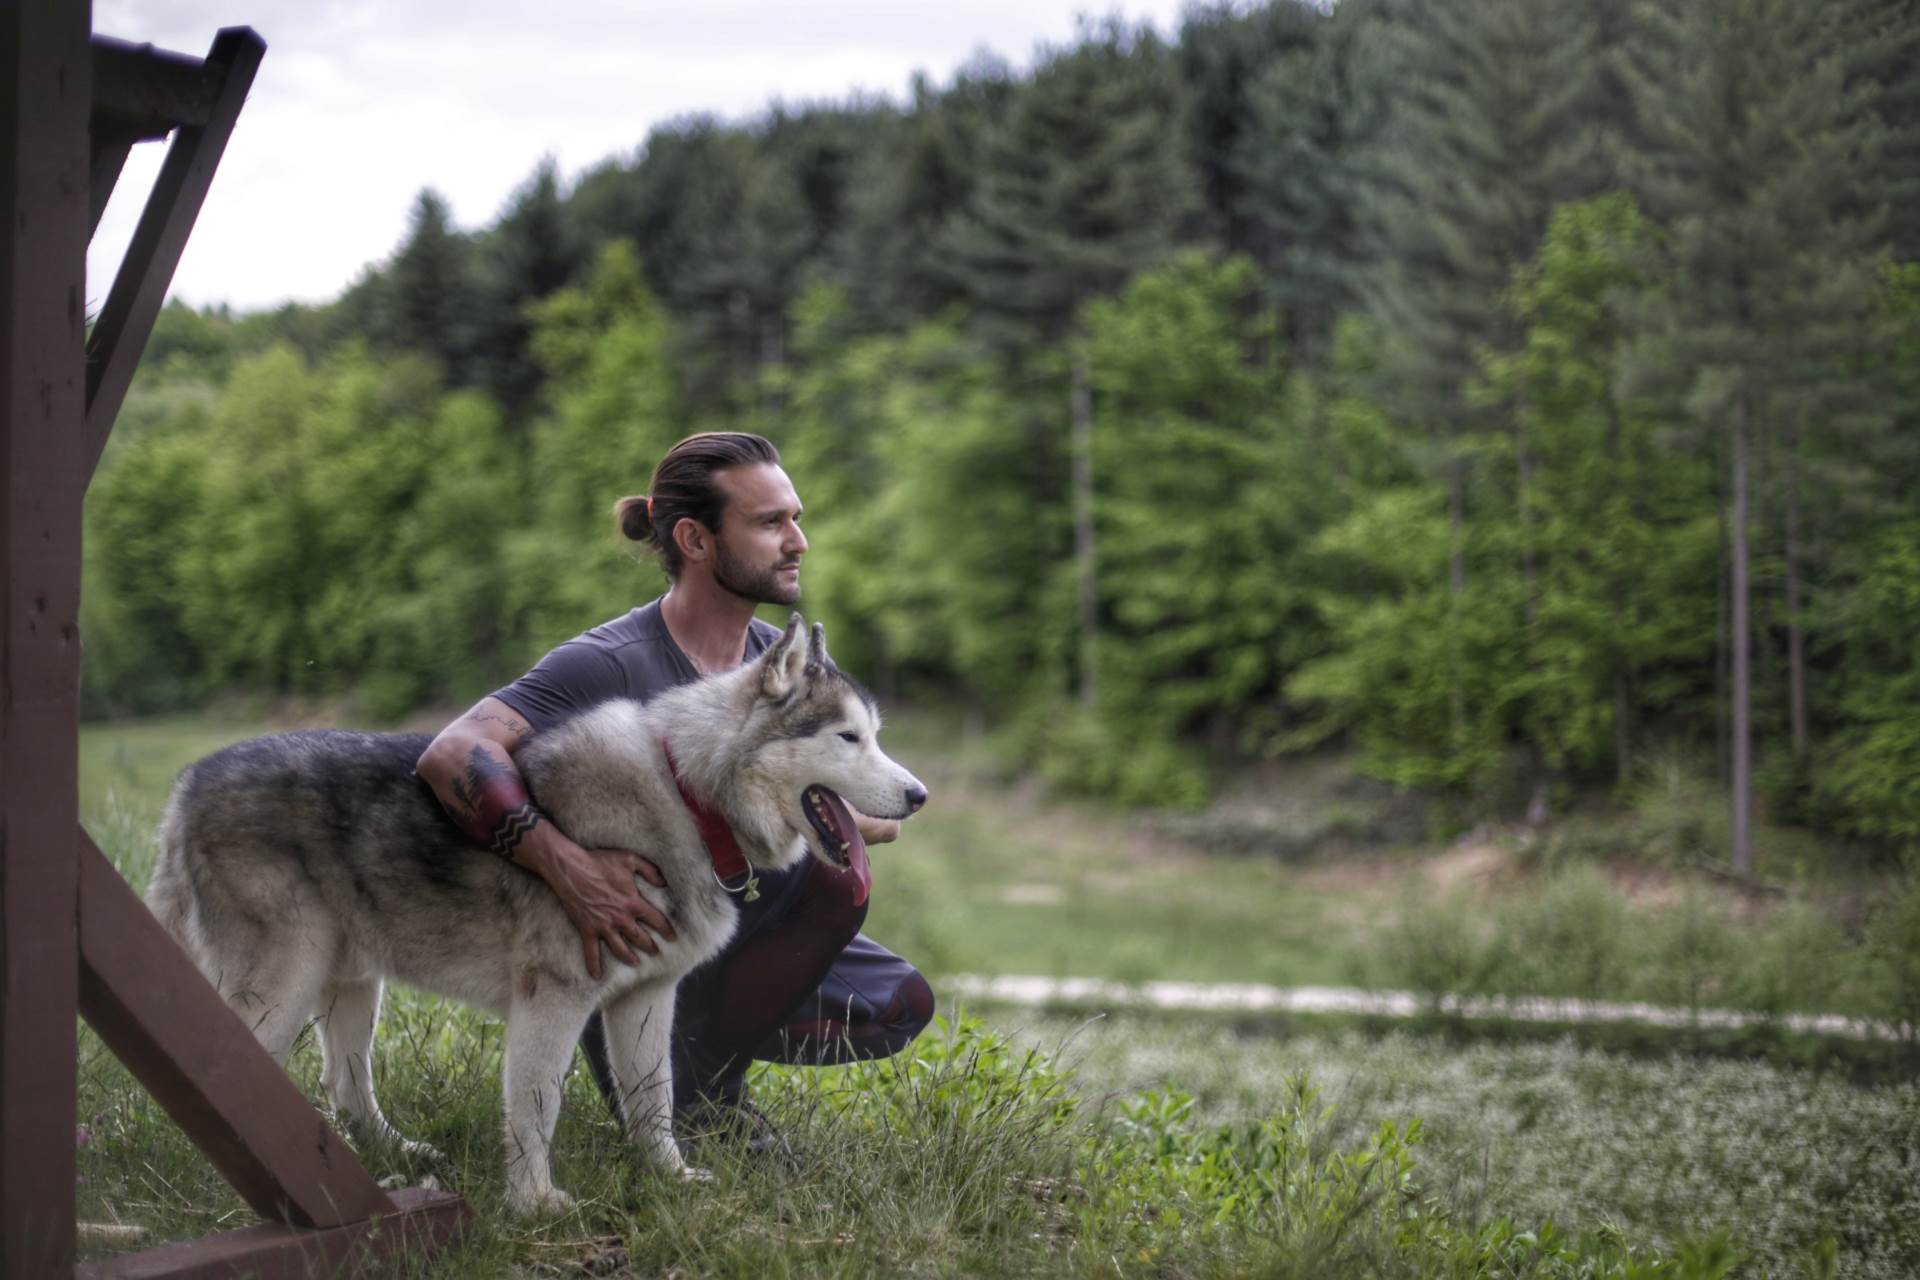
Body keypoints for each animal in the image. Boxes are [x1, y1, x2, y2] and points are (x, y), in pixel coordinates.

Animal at [145, 614, 925, 1220]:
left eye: (876, 735)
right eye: (848, 738)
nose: (918, 795)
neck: (685, 794)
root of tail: (187, 782)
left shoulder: (644, 1000)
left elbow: (654, 1104)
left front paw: (672, 1180)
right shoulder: (554, 1001)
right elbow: (537, 1108)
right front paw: (533, 1205)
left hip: (352, 985)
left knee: (344, 1084)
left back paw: (389, 1159)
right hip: (286, 987)